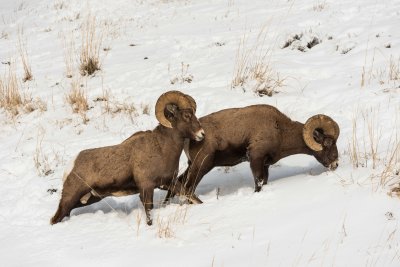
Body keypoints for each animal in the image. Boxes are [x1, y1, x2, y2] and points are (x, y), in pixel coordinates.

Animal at [50, 90, 205, 226]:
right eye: (186, 115)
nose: (202, 134)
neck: (162, 148)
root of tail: (71, 166)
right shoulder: (146, 188)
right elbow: (149, 213)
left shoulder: (170, 182)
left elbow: (193, 197)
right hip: (71, 197)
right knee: (55, 218)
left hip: (89, 199)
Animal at [164, 104, 340, 203]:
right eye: (328, 143)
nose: (336, 164)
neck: (279, 129)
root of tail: (192, 136)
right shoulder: (256, 159)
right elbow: (258, 183)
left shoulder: (265, 164)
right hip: (201, 166)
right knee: (188, 187)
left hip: (193, 165)